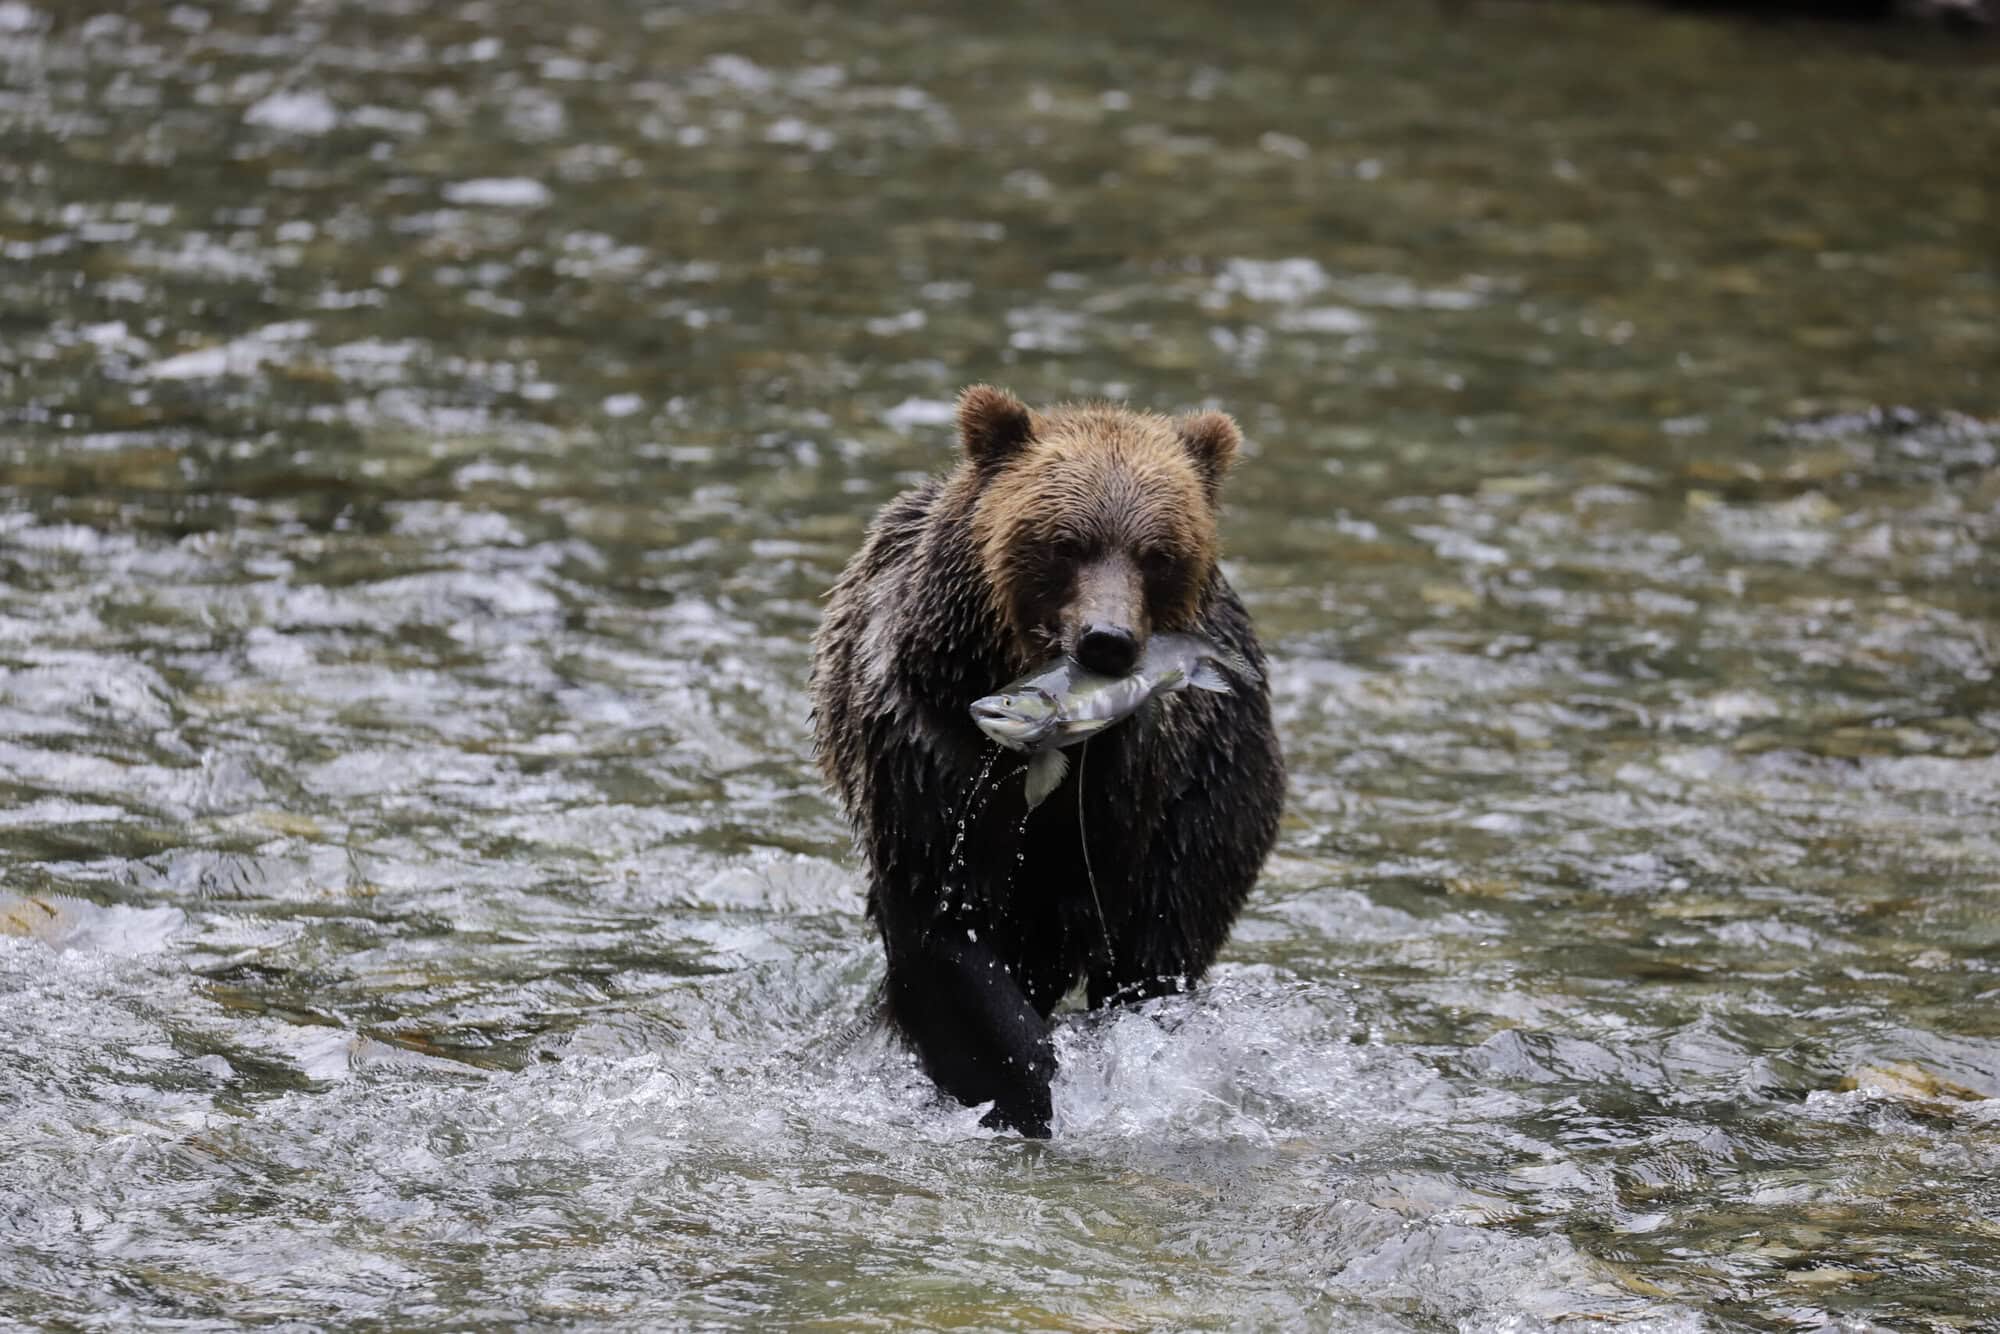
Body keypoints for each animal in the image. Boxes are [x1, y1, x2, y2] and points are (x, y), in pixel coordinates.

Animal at [810, 384, 1284, 1136]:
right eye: (1066, 543)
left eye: (1158, 552)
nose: (1107, 640)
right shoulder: (923, 756)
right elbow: (946, 930)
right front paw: (1018, 1085)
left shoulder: (1139, 784)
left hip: (1216, 793)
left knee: (1161, 948)